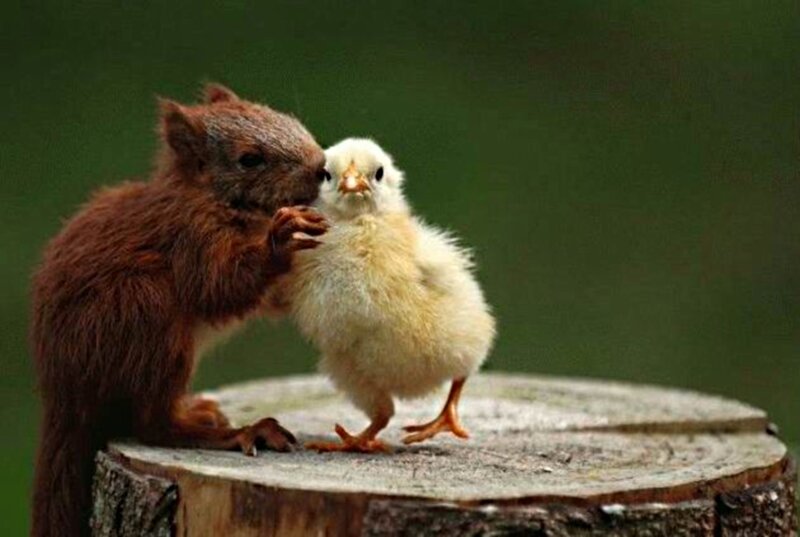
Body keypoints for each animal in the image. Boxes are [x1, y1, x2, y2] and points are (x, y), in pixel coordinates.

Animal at [29, 83, 328, 537]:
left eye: (289, 120)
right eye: (249, 159)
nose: (322, 167)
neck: (214, 199)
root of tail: (65, 393)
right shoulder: (191, 237)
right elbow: (219, 286)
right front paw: (281, 239)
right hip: (146, 314)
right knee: (152, 425)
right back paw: (240, 432)